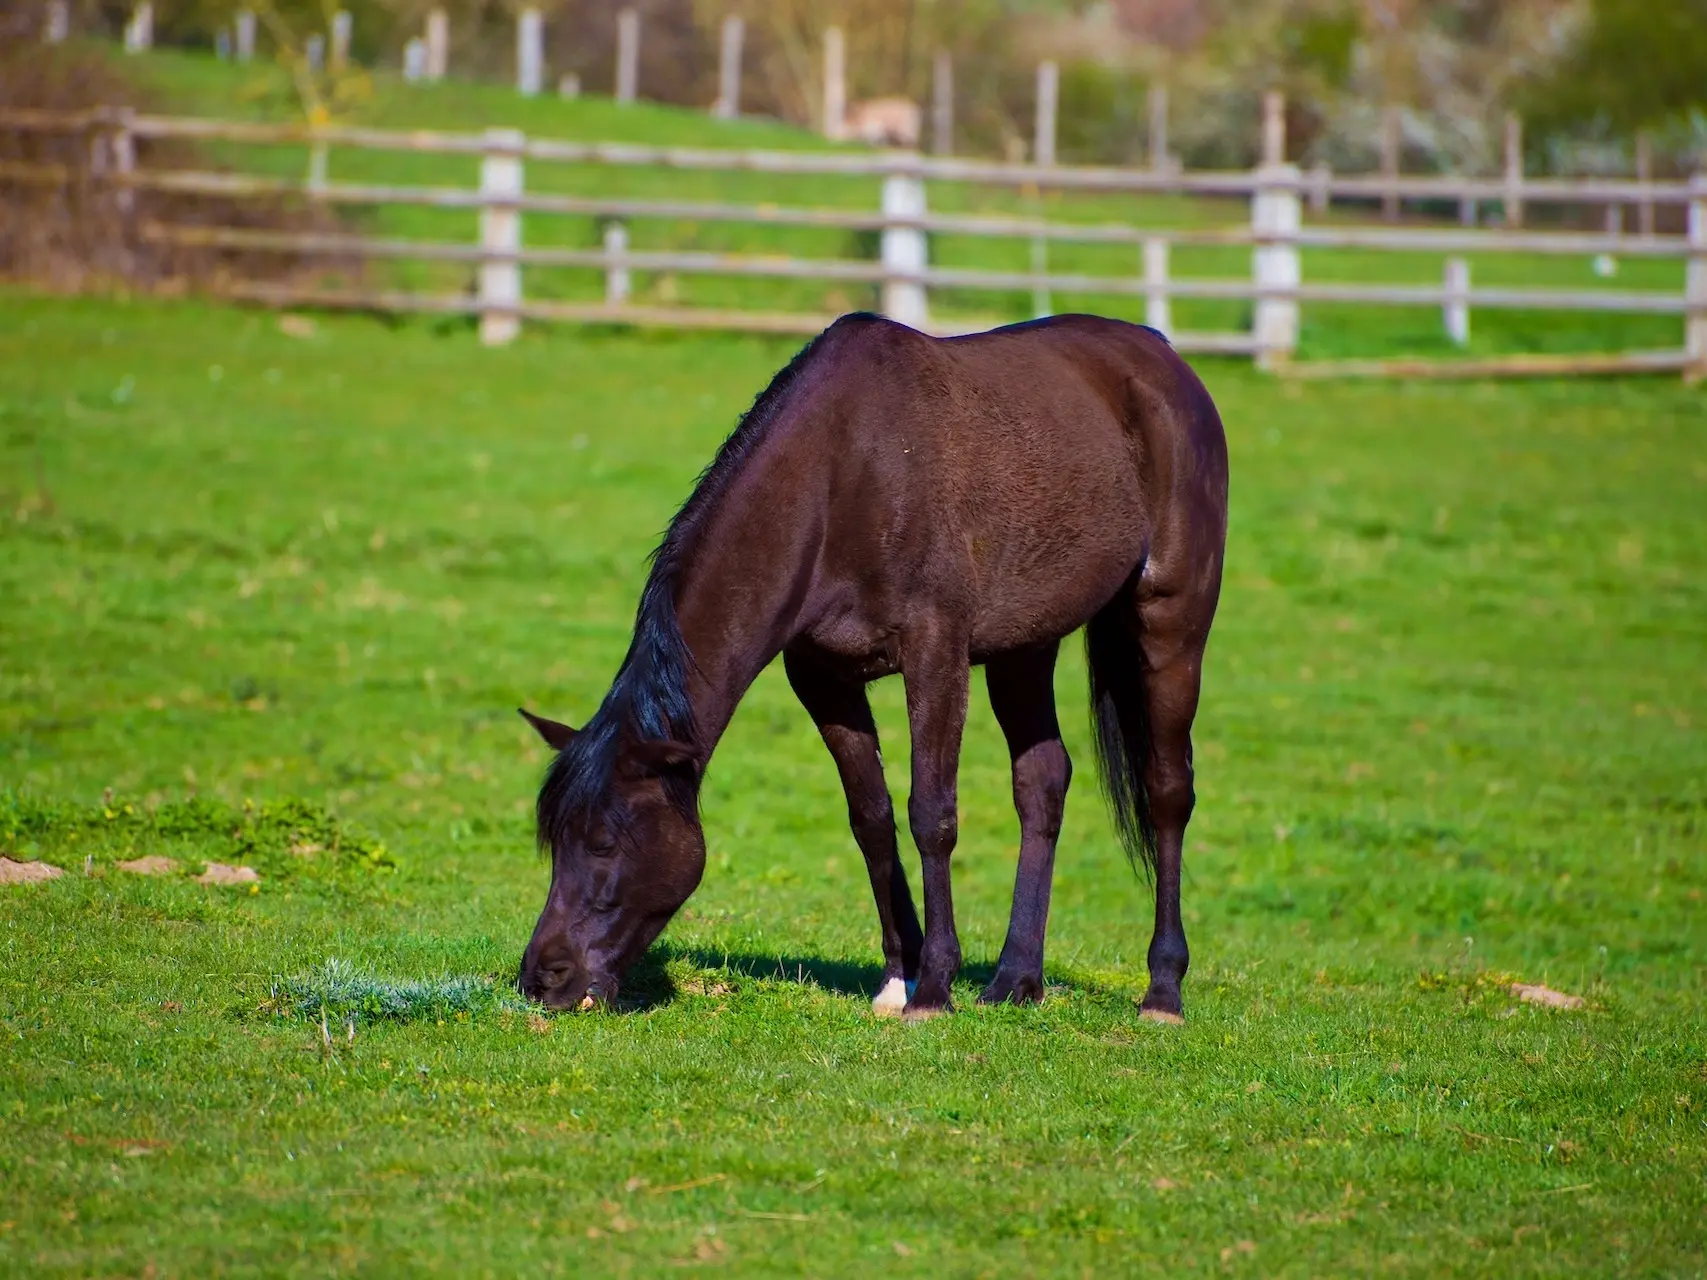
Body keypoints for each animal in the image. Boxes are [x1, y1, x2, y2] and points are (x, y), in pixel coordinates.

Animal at [515, 315, 1229, 1030]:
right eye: (554, 841)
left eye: (604, 843)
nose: (542, 979)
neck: (837, 480)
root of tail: (1165, 359)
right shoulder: (822, 678)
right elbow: (872, 818)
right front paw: (898, 977)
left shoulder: (936, 657)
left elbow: (931, 816)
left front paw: (935, 987)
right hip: (1025, 645)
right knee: (1042, 782)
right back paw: (1015, 978)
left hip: (1171, 622)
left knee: (1168, 791)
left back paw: (1162, 990)